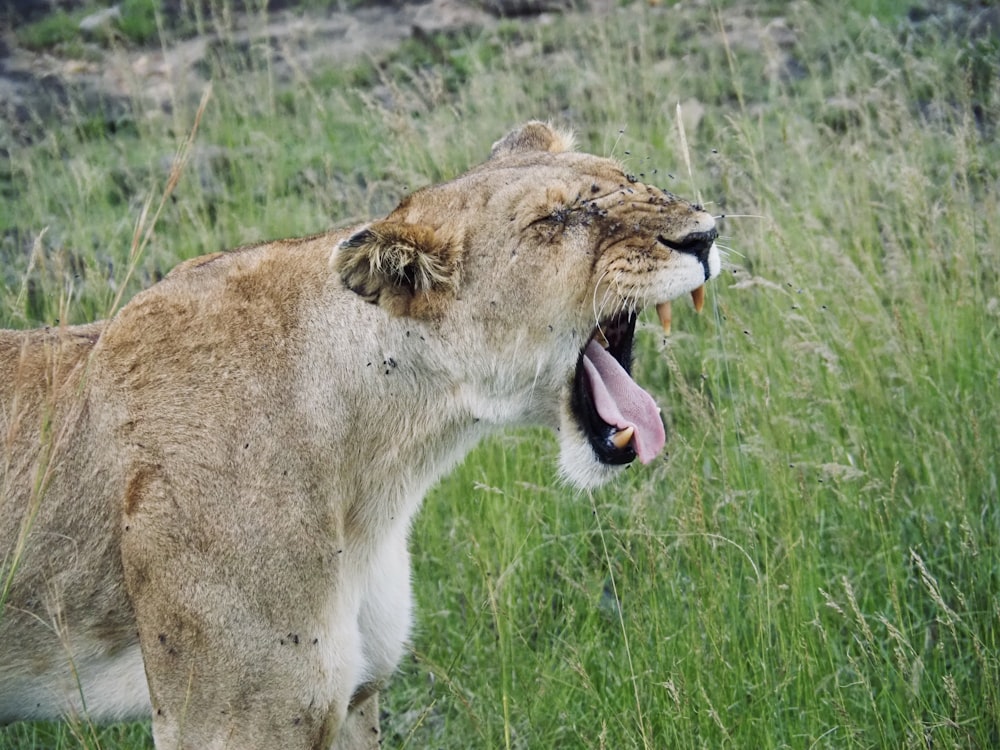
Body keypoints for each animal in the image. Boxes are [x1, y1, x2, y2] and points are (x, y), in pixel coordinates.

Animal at [0, 120, 720, 748]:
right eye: (556, 220)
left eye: (628, 178)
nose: (706, 234)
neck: (381, 473)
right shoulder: (229, 719)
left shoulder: (355, 697)